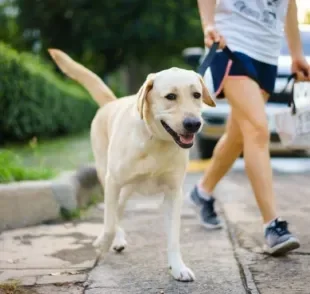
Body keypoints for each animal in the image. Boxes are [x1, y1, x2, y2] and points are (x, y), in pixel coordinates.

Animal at [48, 49, 214, 282]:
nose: (193, 124)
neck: (156, 141)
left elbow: (173, 236)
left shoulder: (174, 193)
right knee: (113, 213)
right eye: (171, 97)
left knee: (118, 210)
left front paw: (177, 267)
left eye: (196, 95)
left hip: (127, 189)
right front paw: (103, 245)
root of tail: (111, 102)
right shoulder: (113, 182)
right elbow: (108, 224)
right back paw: (112, 240)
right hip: (108, 176)